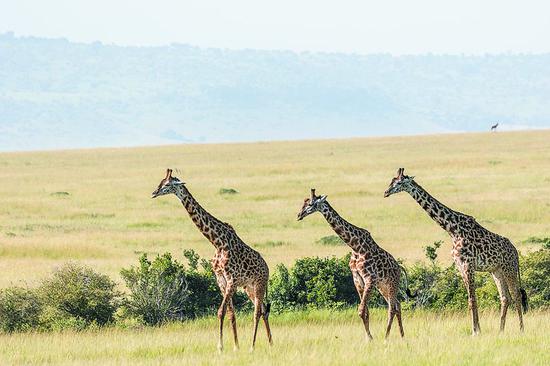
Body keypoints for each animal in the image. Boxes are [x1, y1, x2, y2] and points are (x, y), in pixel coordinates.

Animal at [151, 169, 274, 352]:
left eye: (167, 184)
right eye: (160, 182)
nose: (154, 192)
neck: (217, 242)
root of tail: (267, 268)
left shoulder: (231, 280)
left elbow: (221, 311)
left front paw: (220, 347)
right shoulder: (221, 279)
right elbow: (230, 313)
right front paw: (236, 346)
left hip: (259, 284)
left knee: (257, 312)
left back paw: (252, 347)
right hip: (248, 287)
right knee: (264, 310)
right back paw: (270, 343)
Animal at [300, 189, 416, 340]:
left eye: (311, 204)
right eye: (303, 203)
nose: (299, 215)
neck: (355, 247)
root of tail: (400, 268)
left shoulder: (370, 279)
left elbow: (361, 310)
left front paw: (371, 337)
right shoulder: (357, 279)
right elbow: (365, 311)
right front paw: (368, 338)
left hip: (392, 284)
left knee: (392, 308)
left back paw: (386, 336)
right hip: (383, 286)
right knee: (397, 305)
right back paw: (402, 335)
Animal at [386, 169, 528, 334]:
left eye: (399, 182)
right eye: (391, 181)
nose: (386, 192)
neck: (452, 229)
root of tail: (516, 252)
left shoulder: (468, 265)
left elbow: (473, 299)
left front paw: (475, 331)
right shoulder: (460, 266)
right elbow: (470, 299)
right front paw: (477, 329)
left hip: (508, 268)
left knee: (516, 295)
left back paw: (521, 329)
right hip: (496, 270)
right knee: (505, 297)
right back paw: (501, 330)